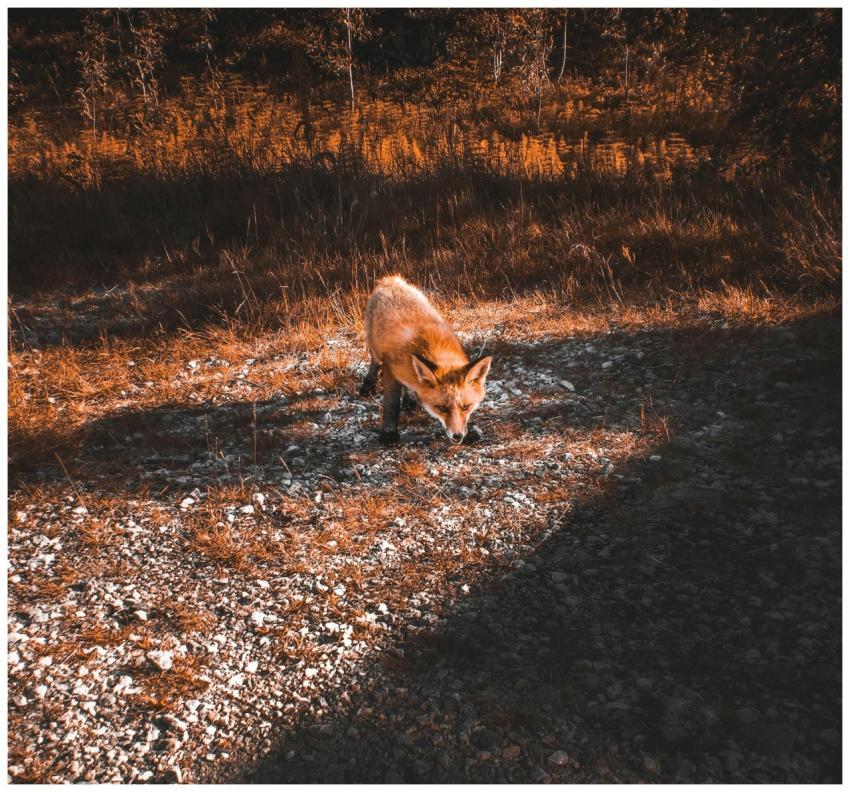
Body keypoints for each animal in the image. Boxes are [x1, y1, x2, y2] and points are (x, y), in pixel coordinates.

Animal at [361, 275, 492, 445]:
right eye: (442, 408)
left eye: (466, 407)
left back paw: (409, 400)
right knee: (374, 362)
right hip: (376, 349)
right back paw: (368, 384)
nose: (457, 437)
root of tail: (391, 280)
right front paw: (389, 433)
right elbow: (391, 404)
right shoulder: (390, 368)